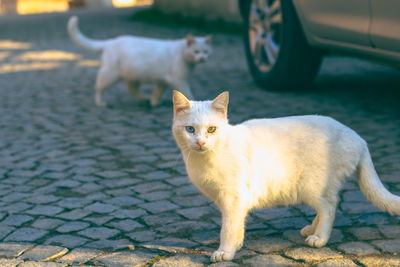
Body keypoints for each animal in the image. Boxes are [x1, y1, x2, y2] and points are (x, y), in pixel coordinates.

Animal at [68, 15, 212, 107]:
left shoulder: (164, 81)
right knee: (98, 88)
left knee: (131, 89)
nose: (202, 58)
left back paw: (145, 99)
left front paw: (154, 102)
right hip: (110, 75)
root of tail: (111, 41)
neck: (182, 52)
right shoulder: (179, 80)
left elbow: (158, 92)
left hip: (133, 76)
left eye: (206, 52)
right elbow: (188, 93)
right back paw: (100, 103)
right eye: (196, 52)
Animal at [173, 91, 400, 262]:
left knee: (329, 207)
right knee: (328, 205)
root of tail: (357, 137)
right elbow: (237, 225)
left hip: (312, 186)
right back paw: (311, 229)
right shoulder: (232, 202)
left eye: (212, 129)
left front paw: (225, 252)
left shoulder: (232, 197)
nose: (200, 142)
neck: (204, 160)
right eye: (190, 129)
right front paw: (236, 245)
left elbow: (227, 228)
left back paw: (319, 238)